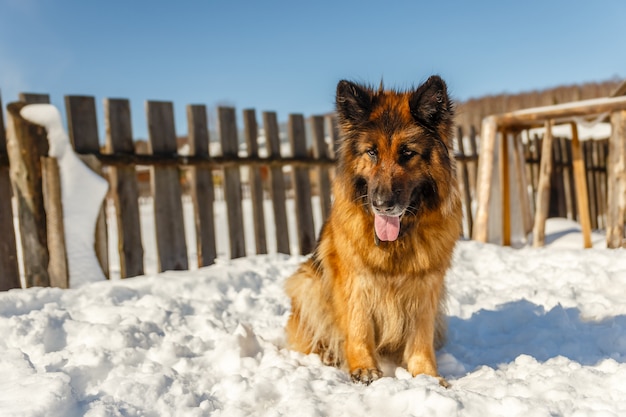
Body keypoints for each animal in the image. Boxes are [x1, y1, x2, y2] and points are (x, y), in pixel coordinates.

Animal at [286, 75, 460, 386]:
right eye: (372, 152)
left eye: (407, 153)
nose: (381, 204)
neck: (396, 241)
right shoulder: (354, 280)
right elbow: (358, 327)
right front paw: (364, 368)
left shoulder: (427, 285)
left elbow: (421, 336)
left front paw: (426, 375)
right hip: (306, 282)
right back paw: (328, 354)